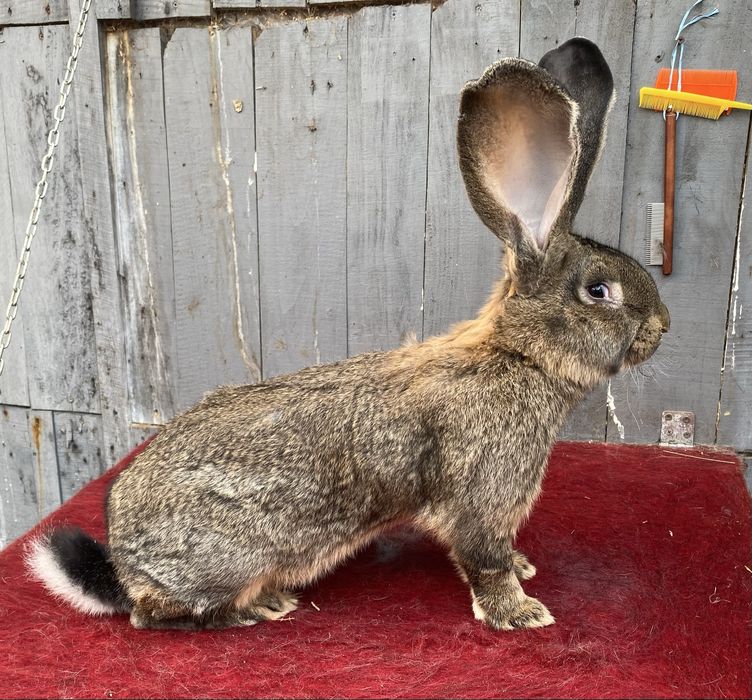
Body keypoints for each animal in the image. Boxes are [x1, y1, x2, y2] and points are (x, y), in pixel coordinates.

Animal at [28, 37, 669, 632]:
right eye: (598, 291)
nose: (662, 327)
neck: (518, 354)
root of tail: (124, 566)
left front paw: (523, 569)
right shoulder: (484, 496)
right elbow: (483, 558)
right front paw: (519, 611)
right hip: (223, 561)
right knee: (154, 616)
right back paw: (258, 606)